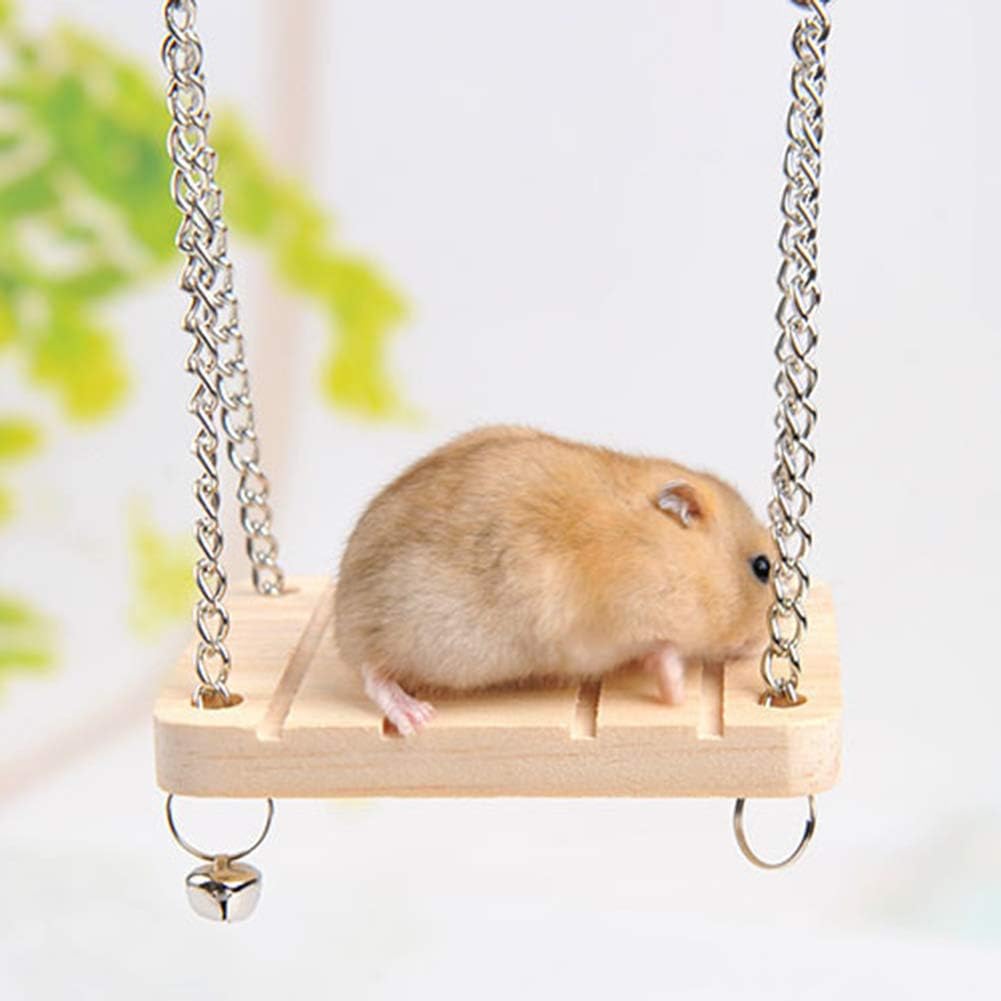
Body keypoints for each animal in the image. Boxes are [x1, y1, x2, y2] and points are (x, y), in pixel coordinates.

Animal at [334, 425, 777, 734]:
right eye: (762, 567)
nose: (761, 644)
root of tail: (341, 611)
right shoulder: (624, 620)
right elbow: (663, 653)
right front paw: (678, 693)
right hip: (415, 634)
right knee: (372, 670)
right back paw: (415, 716)